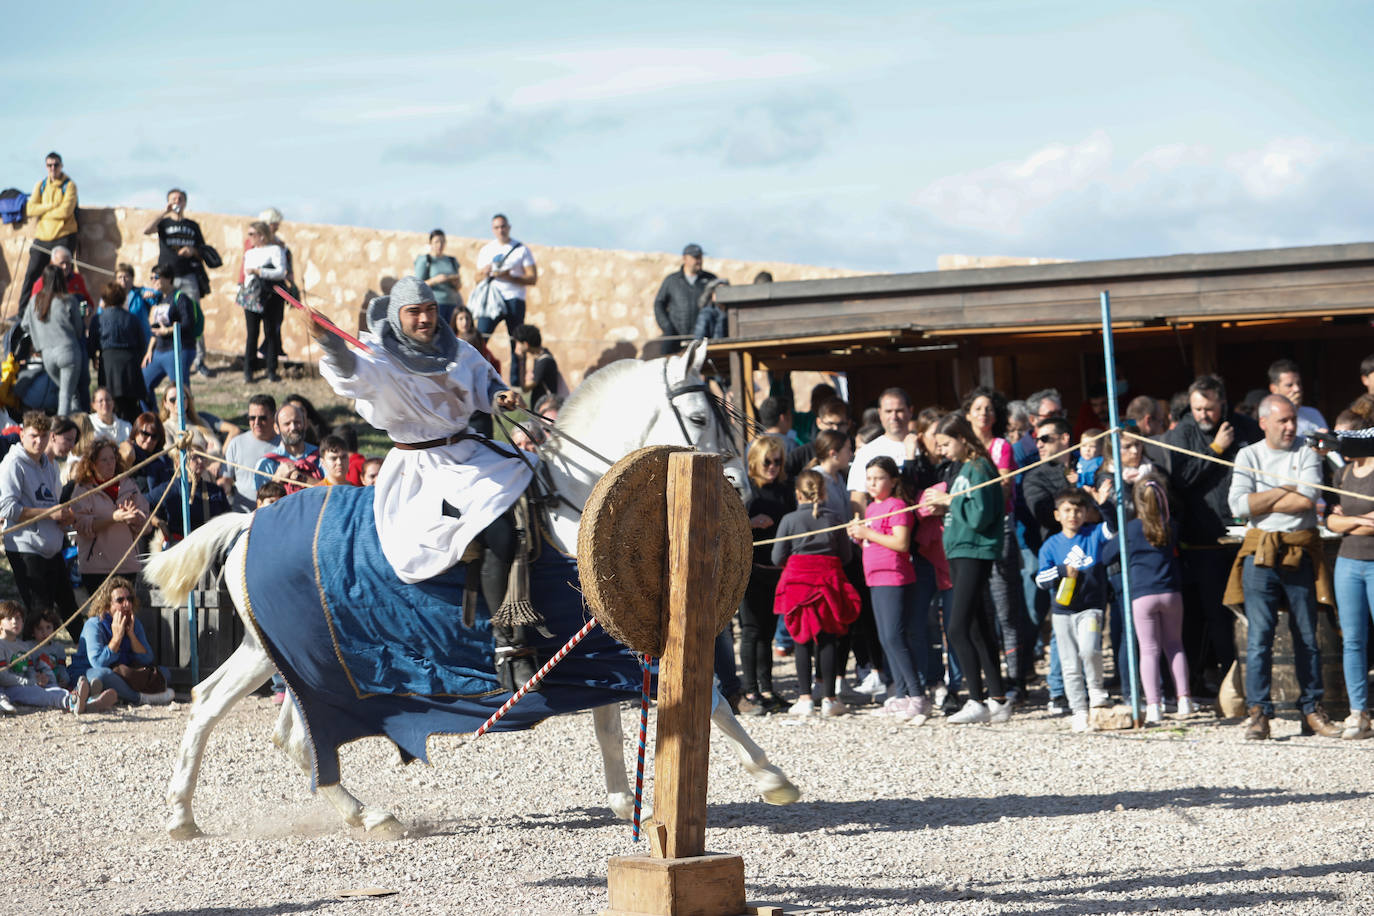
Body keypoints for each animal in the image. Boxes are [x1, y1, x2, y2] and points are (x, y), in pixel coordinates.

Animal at [144, 340, 802, 840]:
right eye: (700, 419)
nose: (741, 488)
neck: (572, 502)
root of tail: (248, 523)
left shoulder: (599, 639)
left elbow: (610, 721)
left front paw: (623, 799)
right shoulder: (611, 639)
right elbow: (707, 698)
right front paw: (772, 777)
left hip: (277, 652)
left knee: (228, 710)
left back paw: (199, 817)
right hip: (298, 655)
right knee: (270, 725)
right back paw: (359, 815)